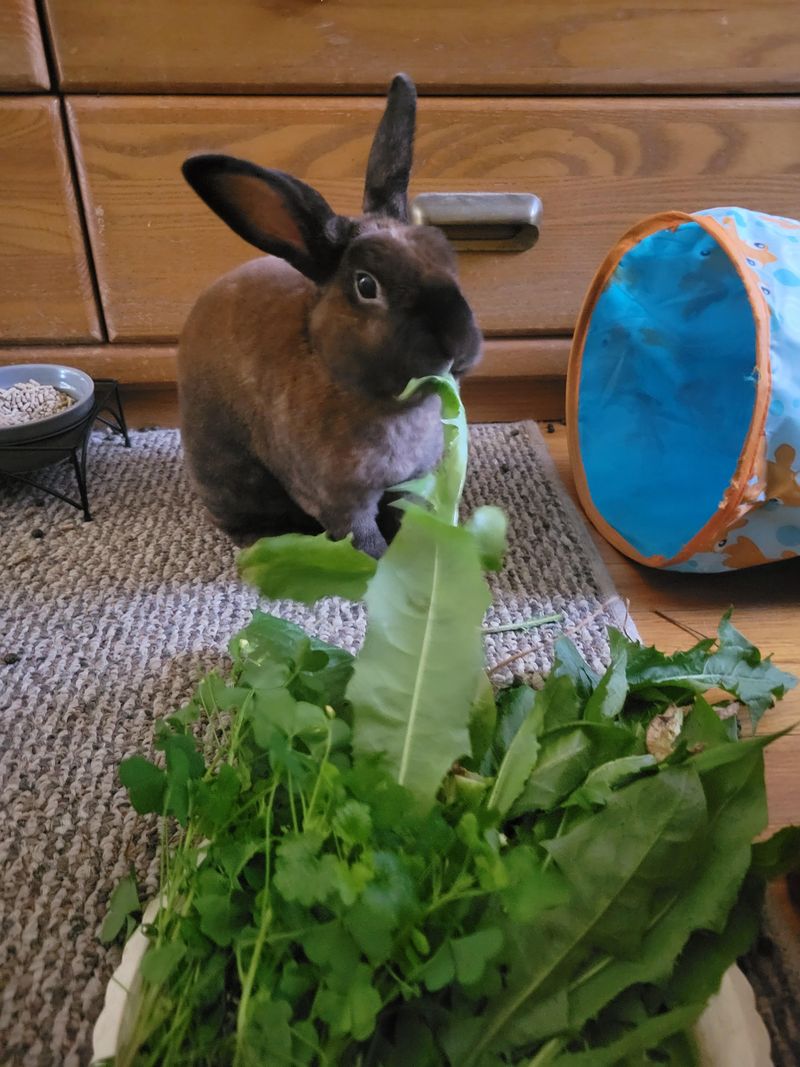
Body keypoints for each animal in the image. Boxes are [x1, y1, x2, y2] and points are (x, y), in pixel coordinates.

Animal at [178, 74, 482, 559]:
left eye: (446, 254)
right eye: (366, 286)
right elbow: (363, 538)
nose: (457, 342)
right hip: (227, 475)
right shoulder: (340, 501)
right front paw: (379, 564)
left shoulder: (409, 484)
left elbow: (405, 516)